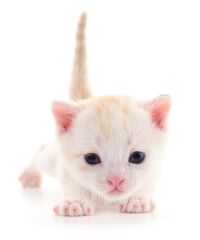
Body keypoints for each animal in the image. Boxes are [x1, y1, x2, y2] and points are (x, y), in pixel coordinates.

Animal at [19, 12, 171, 217]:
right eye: (91, 158)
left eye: (137, 156)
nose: (115, 180)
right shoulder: (65, 168)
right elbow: (73, 183)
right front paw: (75, 202)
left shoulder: (156, 167)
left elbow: (147, 183)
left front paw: (138, 199)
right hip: (51, 158)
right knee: (42, 150)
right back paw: (30, 175)